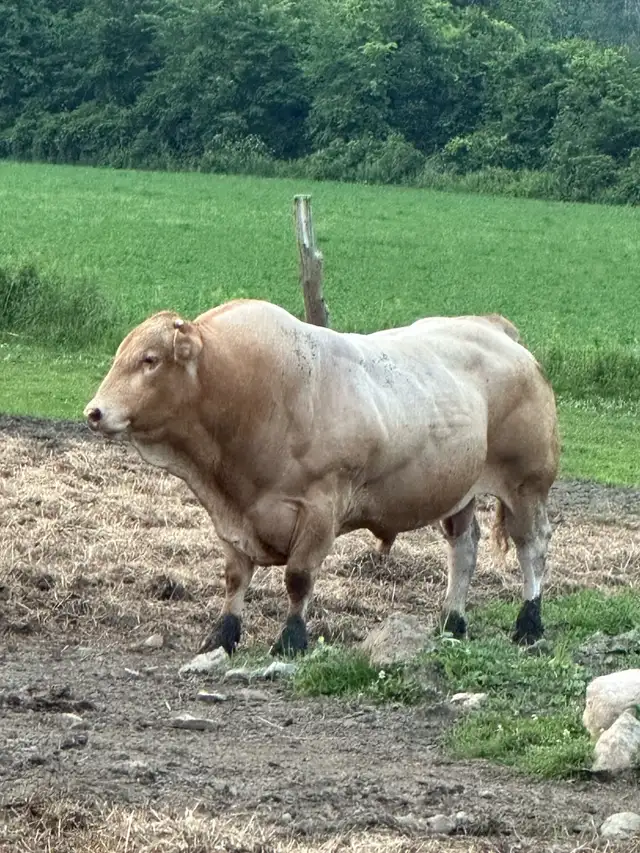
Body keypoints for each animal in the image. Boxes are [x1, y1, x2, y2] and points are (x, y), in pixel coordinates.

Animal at [84, 299, 559, 657]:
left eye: (150, 360)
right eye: (121, 356)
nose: (94, 412)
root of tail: (493, 328)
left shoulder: (318, 508)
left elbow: (298, 579)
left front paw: (291, 639)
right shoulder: (232, 518)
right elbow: (235, 577)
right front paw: (222, 635)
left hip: (526, 485)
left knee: (532, 548)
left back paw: (529, 624)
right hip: (459, 491)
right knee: (464, 550)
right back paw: (452, 622)